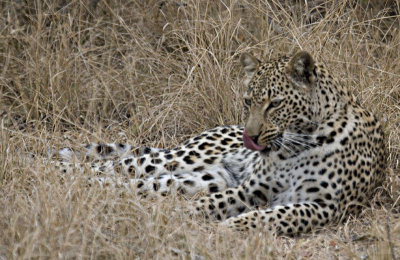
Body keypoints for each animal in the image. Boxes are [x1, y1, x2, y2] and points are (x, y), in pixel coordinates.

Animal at [54, 50, 386, 236]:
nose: (250, 137)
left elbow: (275, 214)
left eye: (275, 104)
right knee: (118, 165)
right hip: (186, 157)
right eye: (248, 101)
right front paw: (182, 216)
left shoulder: (326, 206)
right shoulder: (250, 188)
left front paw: (229, 225)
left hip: (203, 177)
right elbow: (211, 204)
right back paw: (57, 174)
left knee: (138, 184)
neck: (296, 146)